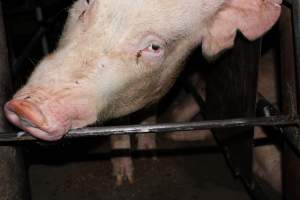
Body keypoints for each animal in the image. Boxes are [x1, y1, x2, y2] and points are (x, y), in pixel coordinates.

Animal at [4, 0, 282, 184]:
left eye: (154, 47)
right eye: (85, 7)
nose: (27, 107)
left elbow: (150, 113)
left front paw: (150, 156)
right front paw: (123, 180)